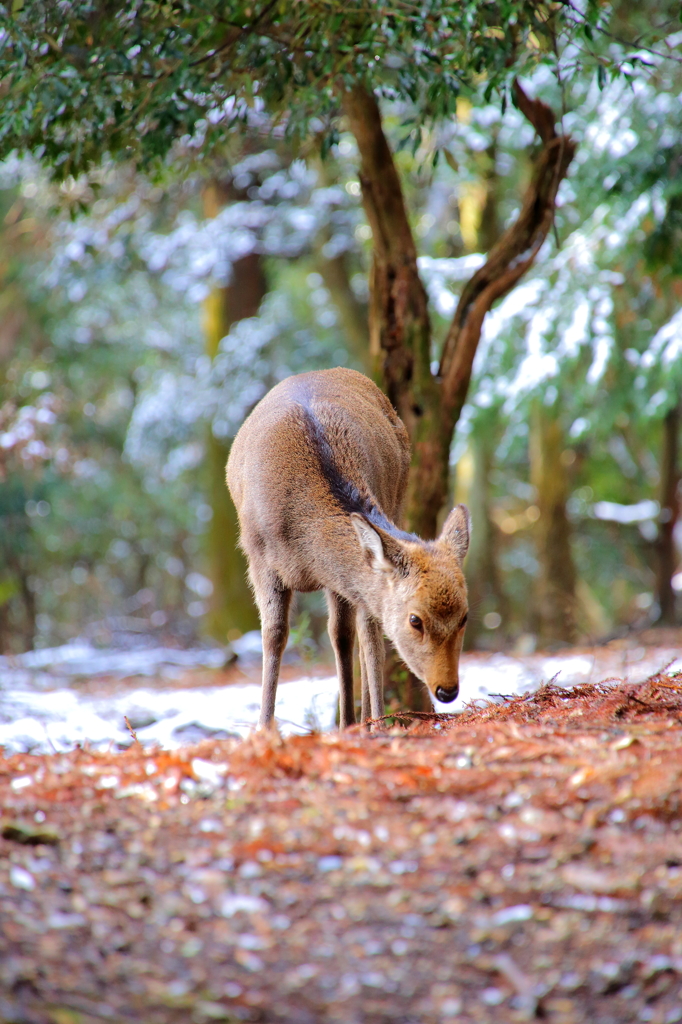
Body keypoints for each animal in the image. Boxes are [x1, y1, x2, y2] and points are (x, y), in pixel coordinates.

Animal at [225, 368, 471, 729]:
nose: (448, 690)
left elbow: (356, 637)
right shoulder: (259, 560)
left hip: (397, 502)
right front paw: (264, 729)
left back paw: (365, 719)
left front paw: (368, 723)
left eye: (465, 616)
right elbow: (274, 635)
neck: (305, 553)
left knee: (358, 633)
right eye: (415, 620)